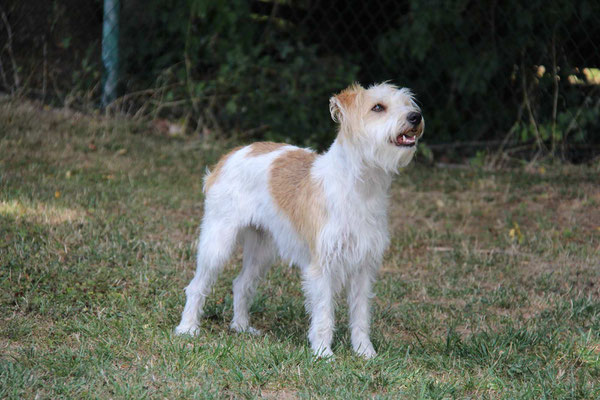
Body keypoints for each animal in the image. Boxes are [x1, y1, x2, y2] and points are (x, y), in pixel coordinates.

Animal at [176, 80, 424, 356]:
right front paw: (323, 353)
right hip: (218, 242)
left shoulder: (363, 267)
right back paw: (188, 328)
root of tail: (233, 153)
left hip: (262, 250)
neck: (359, 186)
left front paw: (364, 352)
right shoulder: (321, 267)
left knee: (241, 284)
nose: (415, 116)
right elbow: (324, 314)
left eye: (407, 103)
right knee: (197, 286)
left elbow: (360, 315)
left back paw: (241, 327)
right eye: (378, 107)